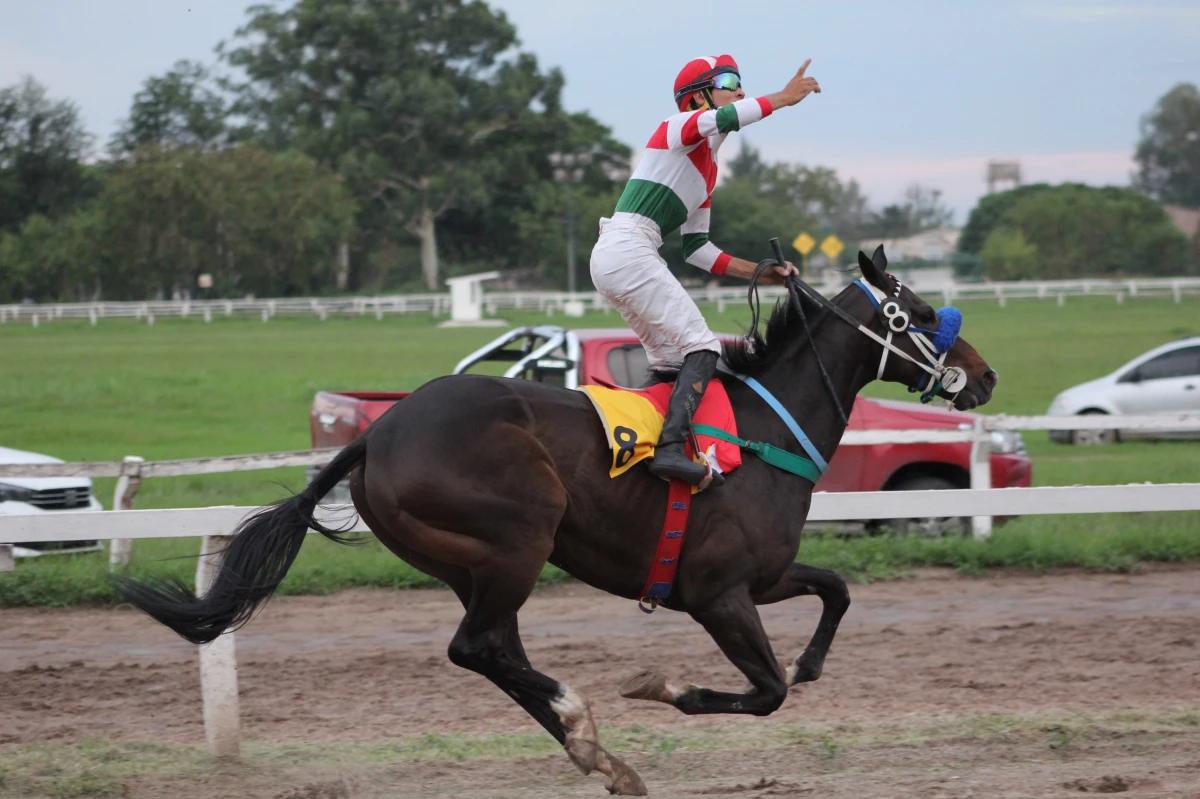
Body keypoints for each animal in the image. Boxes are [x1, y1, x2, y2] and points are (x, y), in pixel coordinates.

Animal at [114, 245, 993, 791]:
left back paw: (597, 753)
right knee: (478, 646)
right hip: (517, 537)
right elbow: (766, 690)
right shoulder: (716, 593)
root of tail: (375, 433)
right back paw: (581, 719)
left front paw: (811, 661)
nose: (982, 376)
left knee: (495, 650)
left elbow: (836, 590)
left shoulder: (764, 574)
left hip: (470, 561)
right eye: (916, 311)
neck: (762, 428)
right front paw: (661, 684)